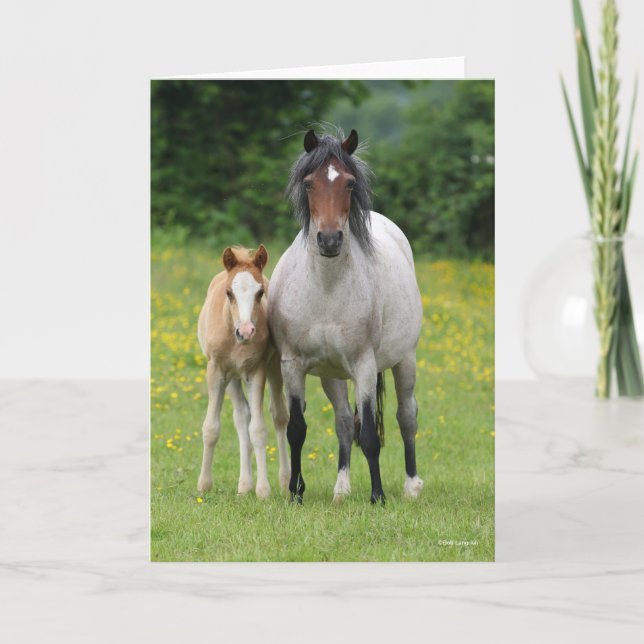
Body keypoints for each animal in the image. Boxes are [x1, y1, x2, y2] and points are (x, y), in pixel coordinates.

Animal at [196, 245, 290, 498]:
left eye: (260, 293)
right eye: (229, 292)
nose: (246, 331)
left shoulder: (256, 371)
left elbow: (258, 429)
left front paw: (263, 490)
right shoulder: (217, 371)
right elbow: (211, 427)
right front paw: (204, 484)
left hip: (274, 367)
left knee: (279, 415)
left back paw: (285, 481)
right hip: (232, 379)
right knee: (241, 416)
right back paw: (244, 484)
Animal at [267, 128, 424, 504]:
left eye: (350, 184)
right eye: (309, 183)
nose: (329, 240)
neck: (326, 288)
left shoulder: (365, 365)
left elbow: (368, 435)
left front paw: (378, 496)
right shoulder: (293, 365)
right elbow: (297, 429)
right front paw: (295, 494)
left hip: (405, 360)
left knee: (406, 416)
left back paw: (412, 485)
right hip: (332, 375)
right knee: (341, 422)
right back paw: (341, 489)